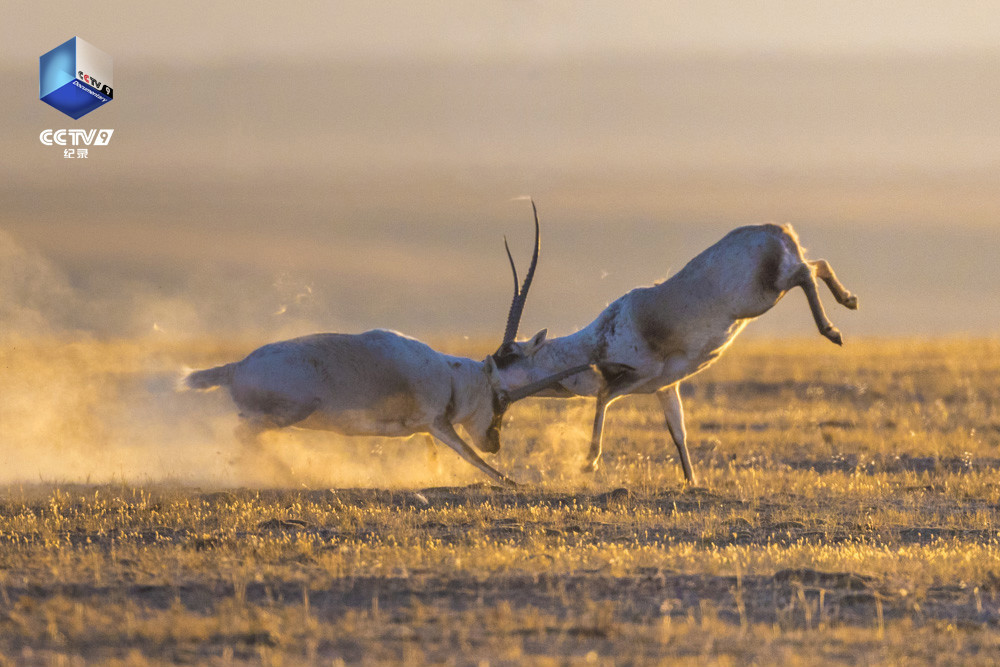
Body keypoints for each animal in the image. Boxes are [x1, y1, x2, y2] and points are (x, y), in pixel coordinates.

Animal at [184, 204, 592, 486]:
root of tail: (235, 367)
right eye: (501, 399)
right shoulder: (437, 423)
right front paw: (513, 482)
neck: (453, 376)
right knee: (243, 435)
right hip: (294, 410)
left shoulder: (427, 430)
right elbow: (469, 457)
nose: (495, 442)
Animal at [492, 223, 860, 486]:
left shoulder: (640, 374)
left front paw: (588, 463)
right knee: (815, 264)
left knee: (806, 273)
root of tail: (776, 230)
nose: (495, 395)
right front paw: (691, 481)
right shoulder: (665, 387)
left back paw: (832, 330)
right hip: (774, 286)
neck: (595, 340)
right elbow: (677, 432)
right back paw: (849, 300)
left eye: (508, 355)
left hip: (764, 295)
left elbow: (602, 397)